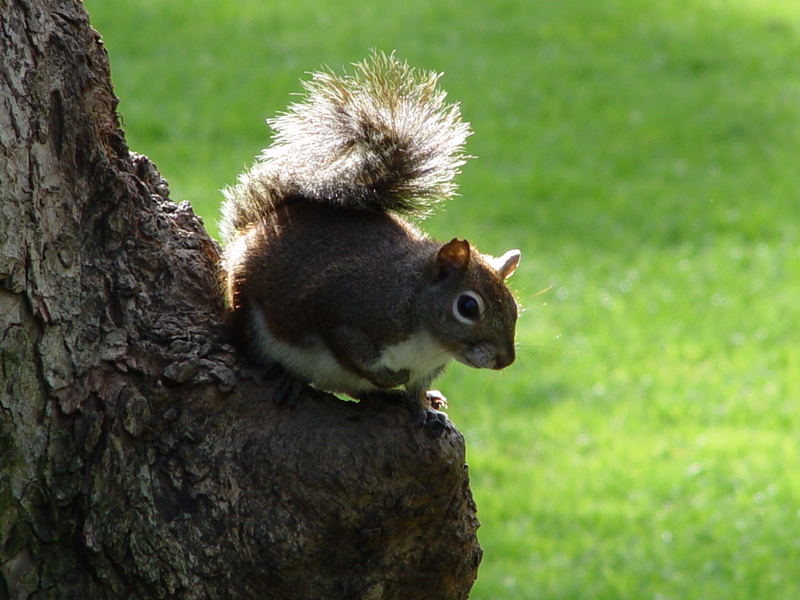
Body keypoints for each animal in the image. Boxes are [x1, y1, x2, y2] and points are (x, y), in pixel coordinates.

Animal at [220, 52, 520, 432]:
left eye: (514, 307)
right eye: (467, 307)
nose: (505, 360)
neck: (427, 339)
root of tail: (257, 227)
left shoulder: (428, 368)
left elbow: (416, 389)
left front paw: (423, 405)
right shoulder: (344, 312)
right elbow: (353, 352)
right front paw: (392, 379)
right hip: (248, 309)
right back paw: (289, 378)